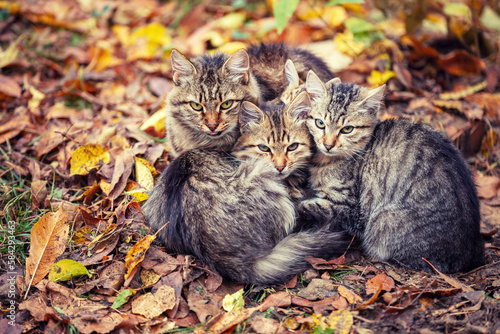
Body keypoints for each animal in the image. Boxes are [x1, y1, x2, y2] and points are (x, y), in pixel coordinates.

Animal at [296, 72, 484, 272]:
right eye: (320, 123)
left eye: (347, 129)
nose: (328, 144)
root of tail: (471, 254)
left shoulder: (349, 208)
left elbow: (308, 205)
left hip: (383, 220)